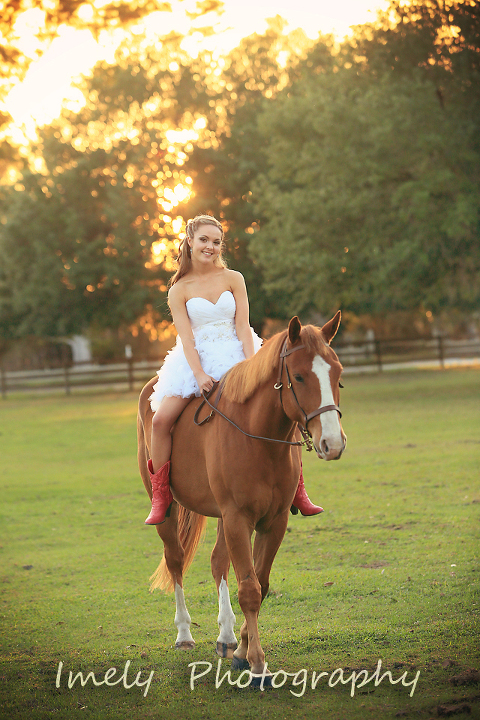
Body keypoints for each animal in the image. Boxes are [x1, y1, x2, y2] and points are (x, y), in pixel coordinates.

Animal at [137, 313, 346, 680]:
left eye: (338, 374)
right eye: (299, 376)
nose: (333, 443)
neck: (258, 437)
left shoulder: (272, 522)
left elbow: (260, 585)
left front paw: (242, 650)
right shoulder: (238, 518)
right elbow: (248, 589)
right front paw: (257, 663)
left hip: (224, 518)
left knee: (218, 562)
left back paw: (226, 636)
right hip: (171, 510)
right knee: (176, 560)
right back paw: (184, 634)